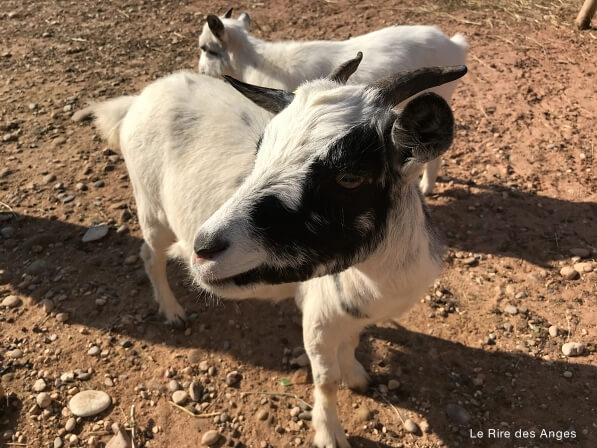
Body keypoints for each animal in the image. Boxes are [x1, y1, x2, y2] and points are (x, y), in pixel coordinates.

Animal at [75, 57, 466, 448]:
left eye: (350, 178)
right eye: (259, 151)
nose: (204, 249)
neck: (377, 281)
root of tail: (140, 99)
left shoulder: (348, 314)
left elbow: (352, 343)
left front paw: (356, 373)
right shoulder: (318, 318)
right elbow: (326, 381)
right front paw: (330, 432)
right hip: (152, 208)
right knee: (149, 255)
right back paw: (172, 312)